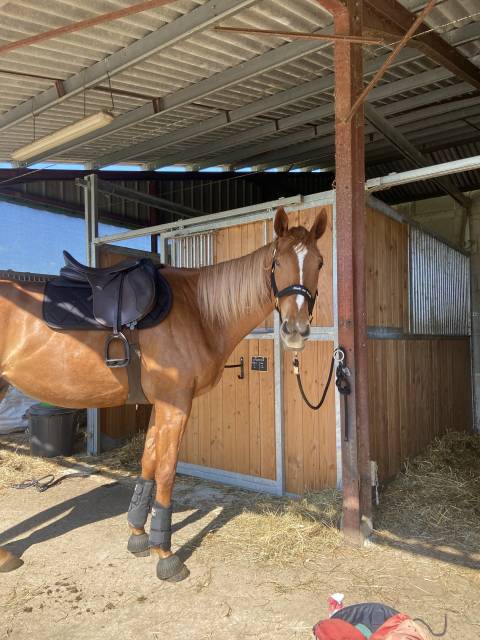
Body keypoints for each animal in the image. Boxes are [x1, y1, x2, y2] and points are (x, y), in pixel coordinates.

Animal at [0, 206, 327, 581]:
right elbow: (167, 471)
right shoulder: (176, 405)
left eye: (319, 262)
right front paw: (165, 553)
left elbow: (148, 463)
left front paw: (139, 535)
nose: (295, 330)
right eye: (277, 262)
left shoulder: (160, 405)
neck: (199, 311)